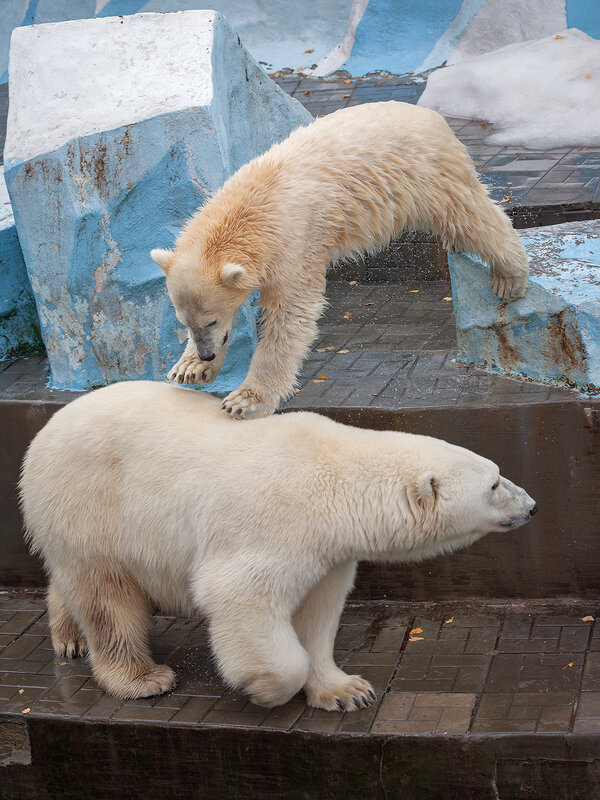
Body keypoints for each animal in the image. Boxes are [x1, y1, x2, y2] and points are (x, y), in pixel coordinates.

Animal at [18, 384, 536, 708]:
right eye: (494, 484)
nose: (532, 505)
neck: (334, 481)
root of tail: (45, 430)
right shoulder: (272, 524)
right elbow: (241, 599)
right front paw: (264, 689)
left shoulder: (328, 551)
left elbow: (318, 612)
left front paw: (347, 692)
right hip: (91, 504)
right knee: (106, 594)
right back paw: (141, 678)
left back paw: (69, 637)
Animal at [151, 103, 528, 422]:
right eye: (185, 322)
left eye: (212, 321)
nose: (206, 354)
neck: (251, 209)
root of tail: (432, 116)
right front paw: (188, 369)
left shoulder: (292, 246)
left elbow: (290, 314)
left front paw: (245, 401)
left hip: (427, 176)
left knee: (468, 215)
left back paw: (509, 274)